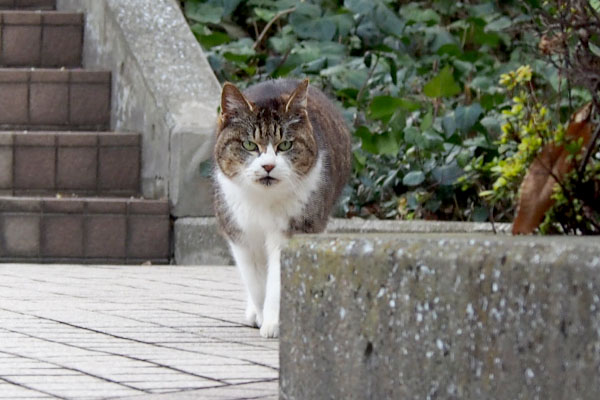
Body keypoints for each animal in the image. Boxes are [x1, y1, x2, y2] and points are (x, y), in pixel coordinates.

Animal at [213, 78, 352, 338]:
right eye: (249, 144)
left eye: (285, 144)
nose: (268, 165)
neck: (264, 201)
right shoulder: (239, 233)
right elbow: (255, 281)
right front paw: (260, 315)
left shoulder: (295, 227)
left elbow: (278, 279)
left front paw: (274, 323)